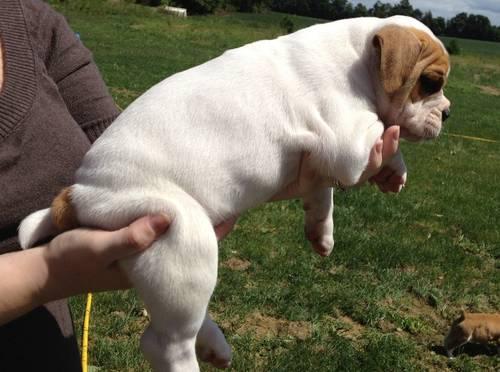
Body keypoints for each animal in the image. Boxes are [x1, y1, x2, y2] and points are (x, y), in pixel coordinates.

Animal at [18, 15, 450, 372]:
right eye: (431, 82)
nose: (447, 113)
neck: (357, 57)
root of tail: (79, 193)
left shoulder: (321, 163)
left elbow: (321, 190)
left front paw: (325, 227)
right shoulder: (347, 142)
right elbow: (385, 130)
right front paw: (393, 160)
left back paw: (213, 344)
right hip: (184, 238)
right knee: (164, 343)